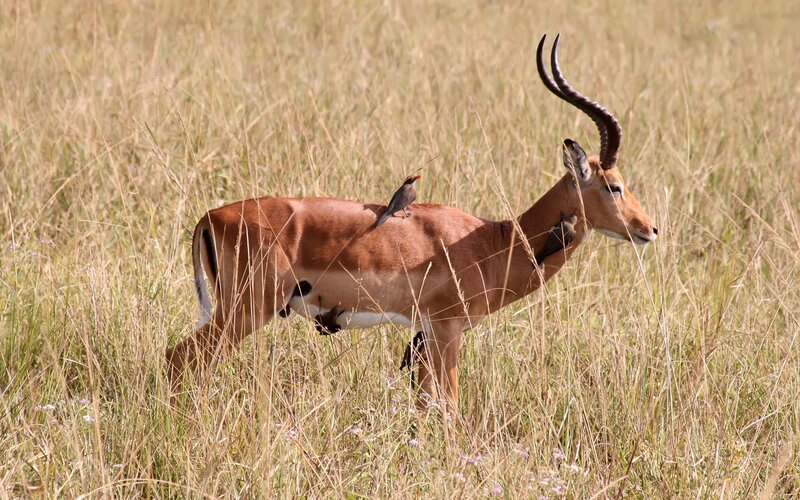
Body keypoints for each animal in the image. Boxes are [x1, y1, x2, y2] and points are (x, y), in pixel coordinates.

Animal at [165, 34, 657, 418]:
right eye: (613, 185)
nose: (649, 230)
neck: (492, 242)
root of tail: (210, 218)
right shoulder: (446, 330)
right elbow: (449, 408)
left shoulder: (424, 335)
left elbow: (425, 405)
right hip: (247, 309)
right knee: (179, 358)